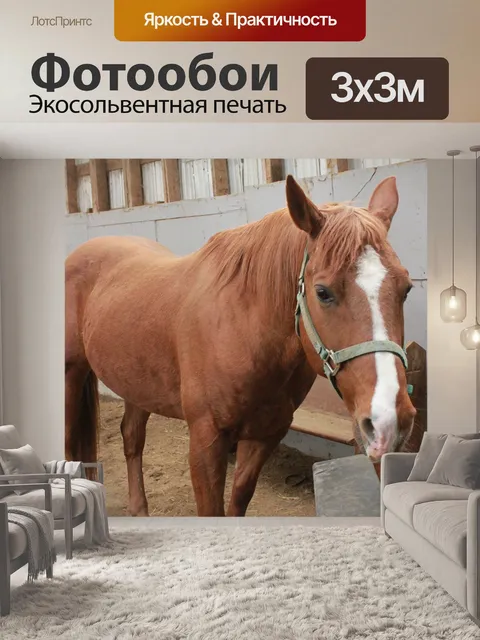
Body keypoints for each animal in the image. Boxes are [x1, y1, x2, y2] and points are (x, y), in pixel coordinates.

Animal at [65, 175, 416, 517]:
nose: (390, 420)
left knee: (132, 438)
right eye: (322, 292)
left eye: (407, 288)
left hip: (136, 383)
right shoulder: (205, 441)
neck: (242, 328)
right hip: (72, 375)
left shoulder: (264, 435)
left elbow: (238, 501)